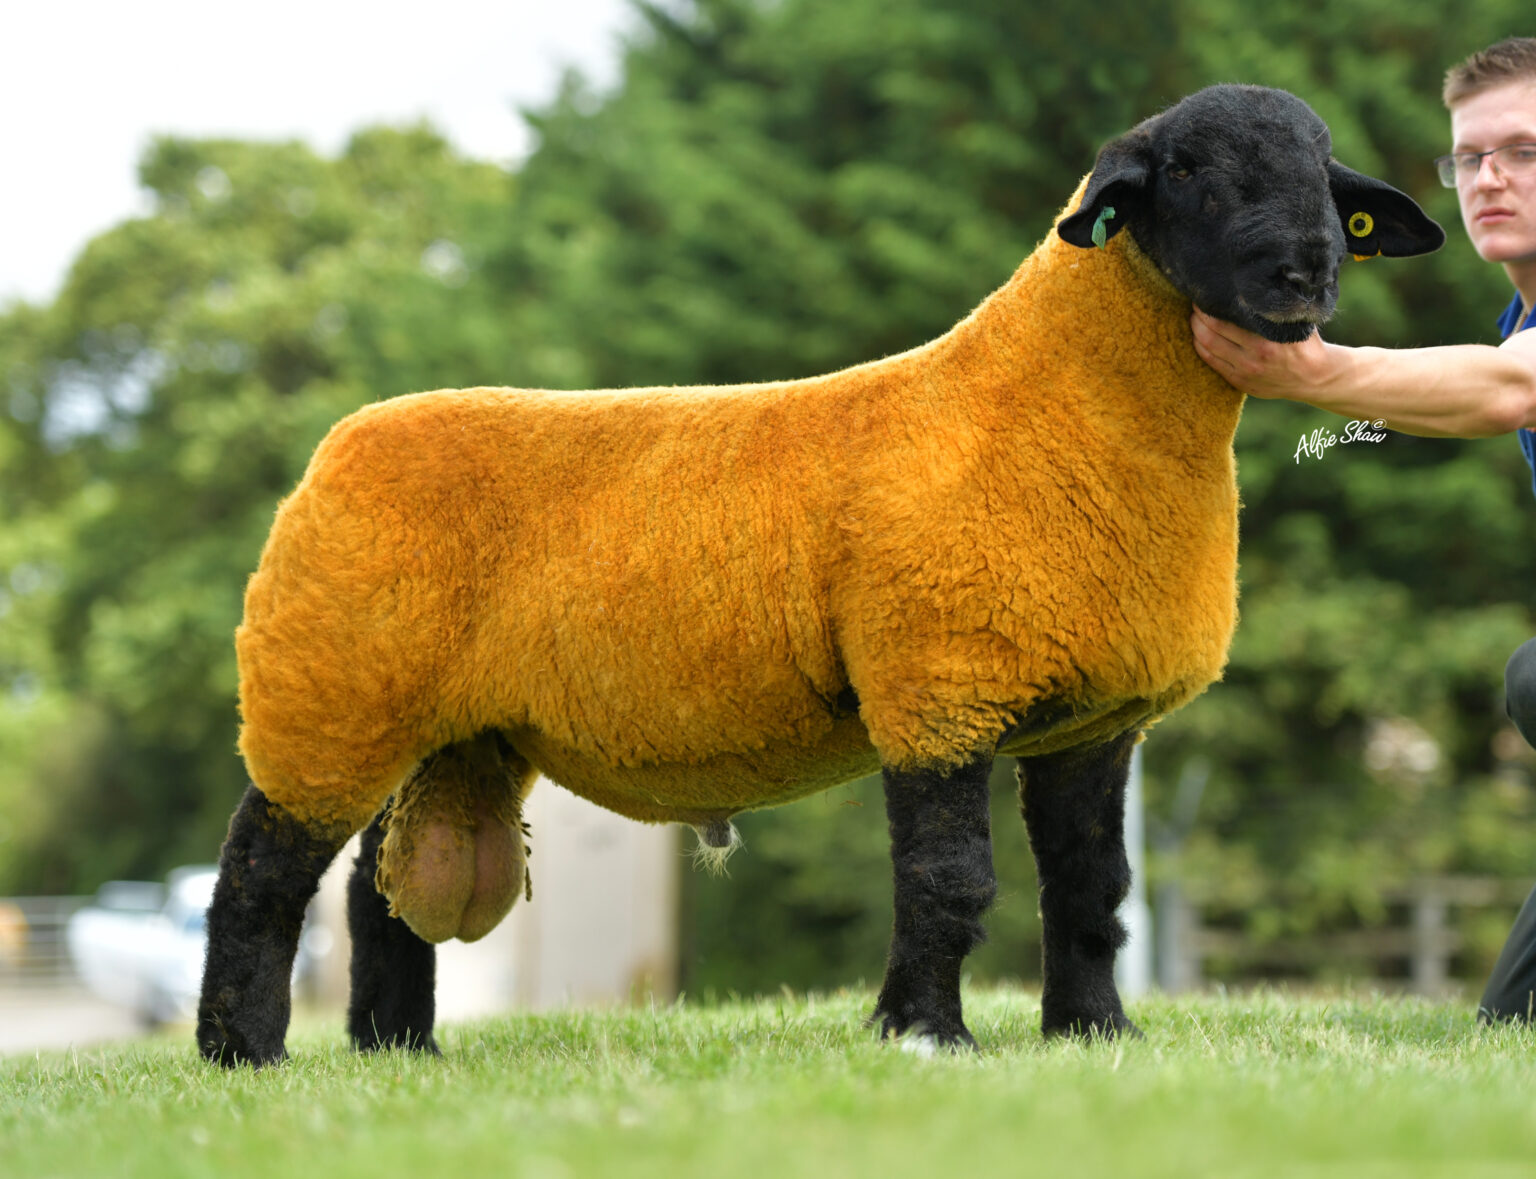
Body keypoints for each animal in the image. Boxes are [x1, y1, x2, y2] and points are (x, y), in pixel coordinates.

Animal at [196, 84, 1443, 1066]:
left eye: (1327, 176)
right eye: (1184, 170)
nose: (1304, 273)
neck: (1053, 402)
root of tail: (343, 442)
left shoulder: (1092, 720)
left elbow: (1092, 890)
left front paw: (1094, 1035)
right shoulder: (937, 687)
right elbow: (949, 883)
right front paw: (928, 1036)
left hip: (444, 726)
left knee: (378, 893)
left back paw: (395, 1050)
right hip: (324, 692)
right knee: (261, 876)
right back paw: (243, 1053)